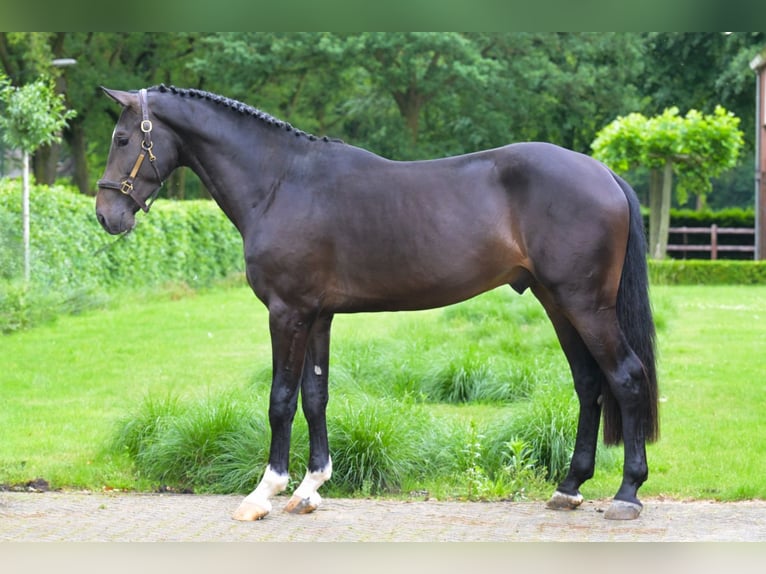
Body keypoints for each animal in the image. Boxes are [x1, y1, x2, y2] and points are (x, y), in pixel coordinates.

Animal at [94, 85, 660, 520]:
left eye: (123, 138)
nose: (105, 214)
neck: (281, 183)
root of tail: (603, 173)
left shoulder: (287, 313)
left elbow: (281, 400)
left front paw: (264, 494)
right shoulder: (317, 316)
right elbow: (314, 397)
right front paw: (309, 490)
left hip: (584, 305)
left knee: (627, 377)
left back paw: (627, 494)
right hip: (557, 303)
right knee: (589, 384)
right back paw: (569, 488)